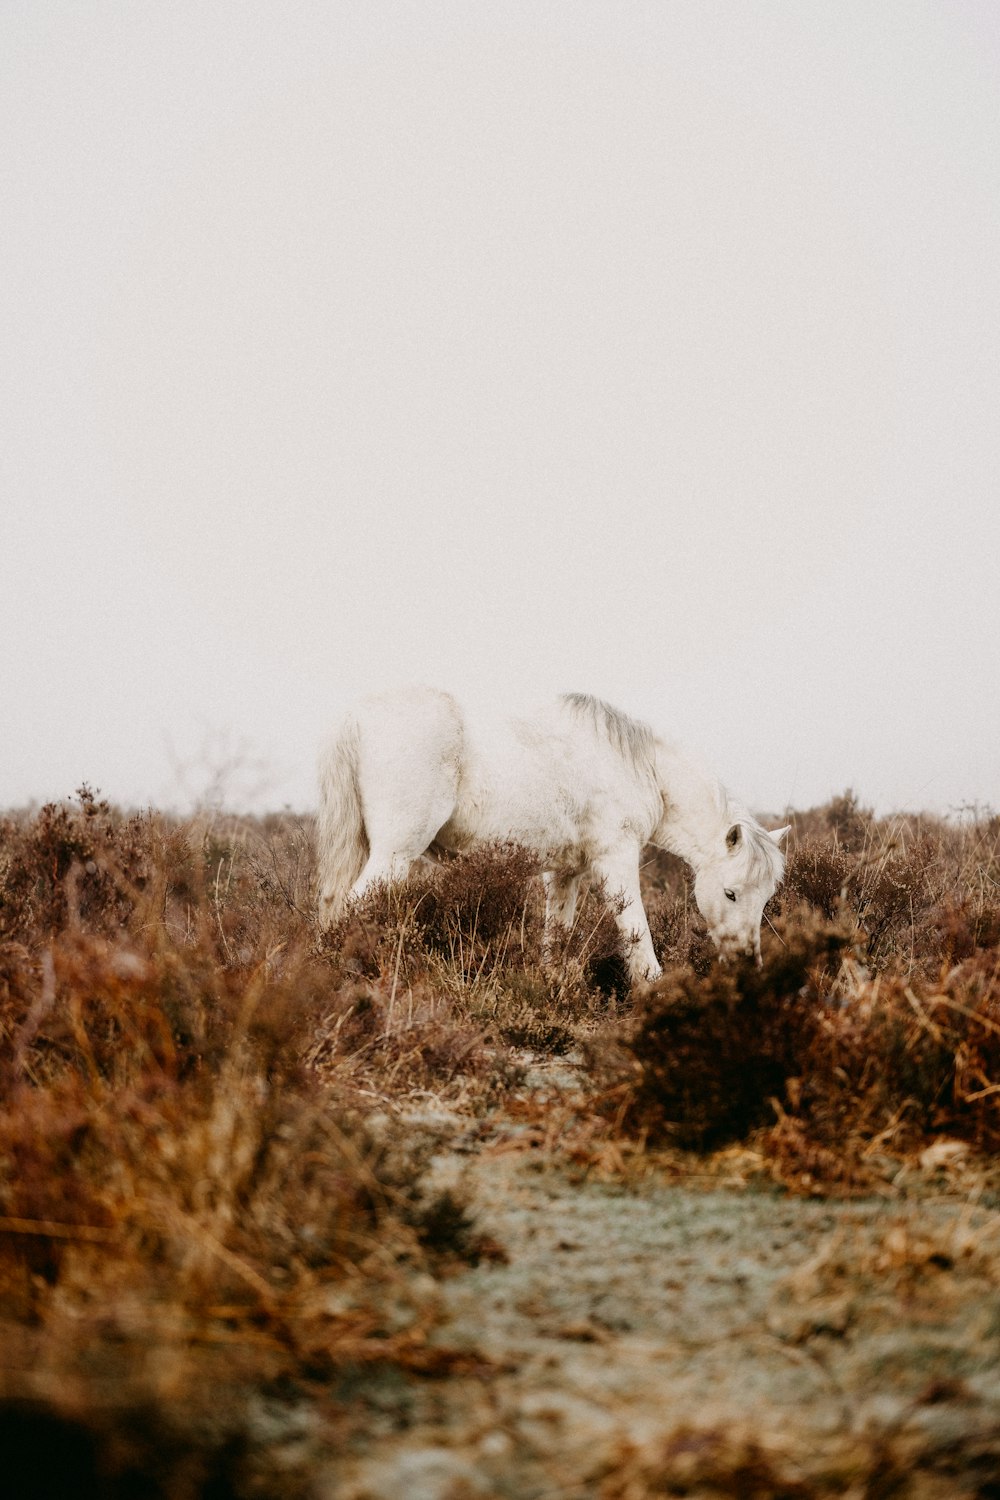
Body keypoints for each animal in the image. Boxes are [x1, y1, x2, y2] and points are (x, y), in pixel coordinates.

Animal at [319, 687, 791, 978]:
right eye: (731, 893)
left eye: (765, 896)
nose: (746, 961)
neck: (641, 769)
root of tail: (356, 717)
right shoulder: (615, 862)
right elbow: (636, 934)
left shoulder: (566, 873)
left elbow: (557, 935)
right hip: (394, 855)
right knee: (346, 909)